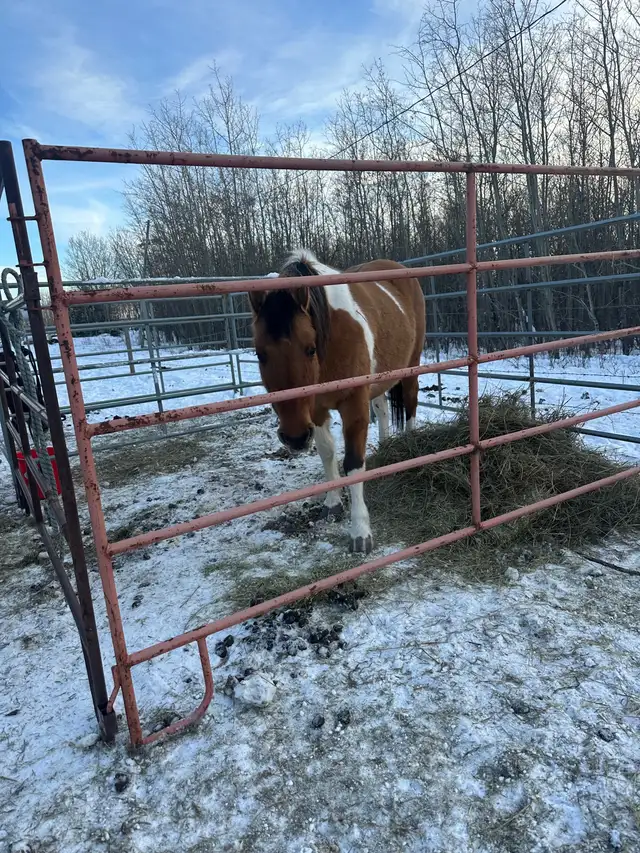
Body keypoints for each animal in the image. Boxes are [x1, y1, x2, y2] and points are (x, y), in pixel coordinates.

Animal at [249, 249, 426, 554]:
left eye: (310, 349)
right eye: (260, 354)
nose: (295, 438)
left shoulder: (354, 406)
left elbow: (353, 463)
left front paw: (360, 531)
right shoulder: (316, 409)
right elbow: (327, 453)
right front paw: (332, 503)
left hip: (411, 367)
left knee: (411, 404)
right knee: (382, 409)